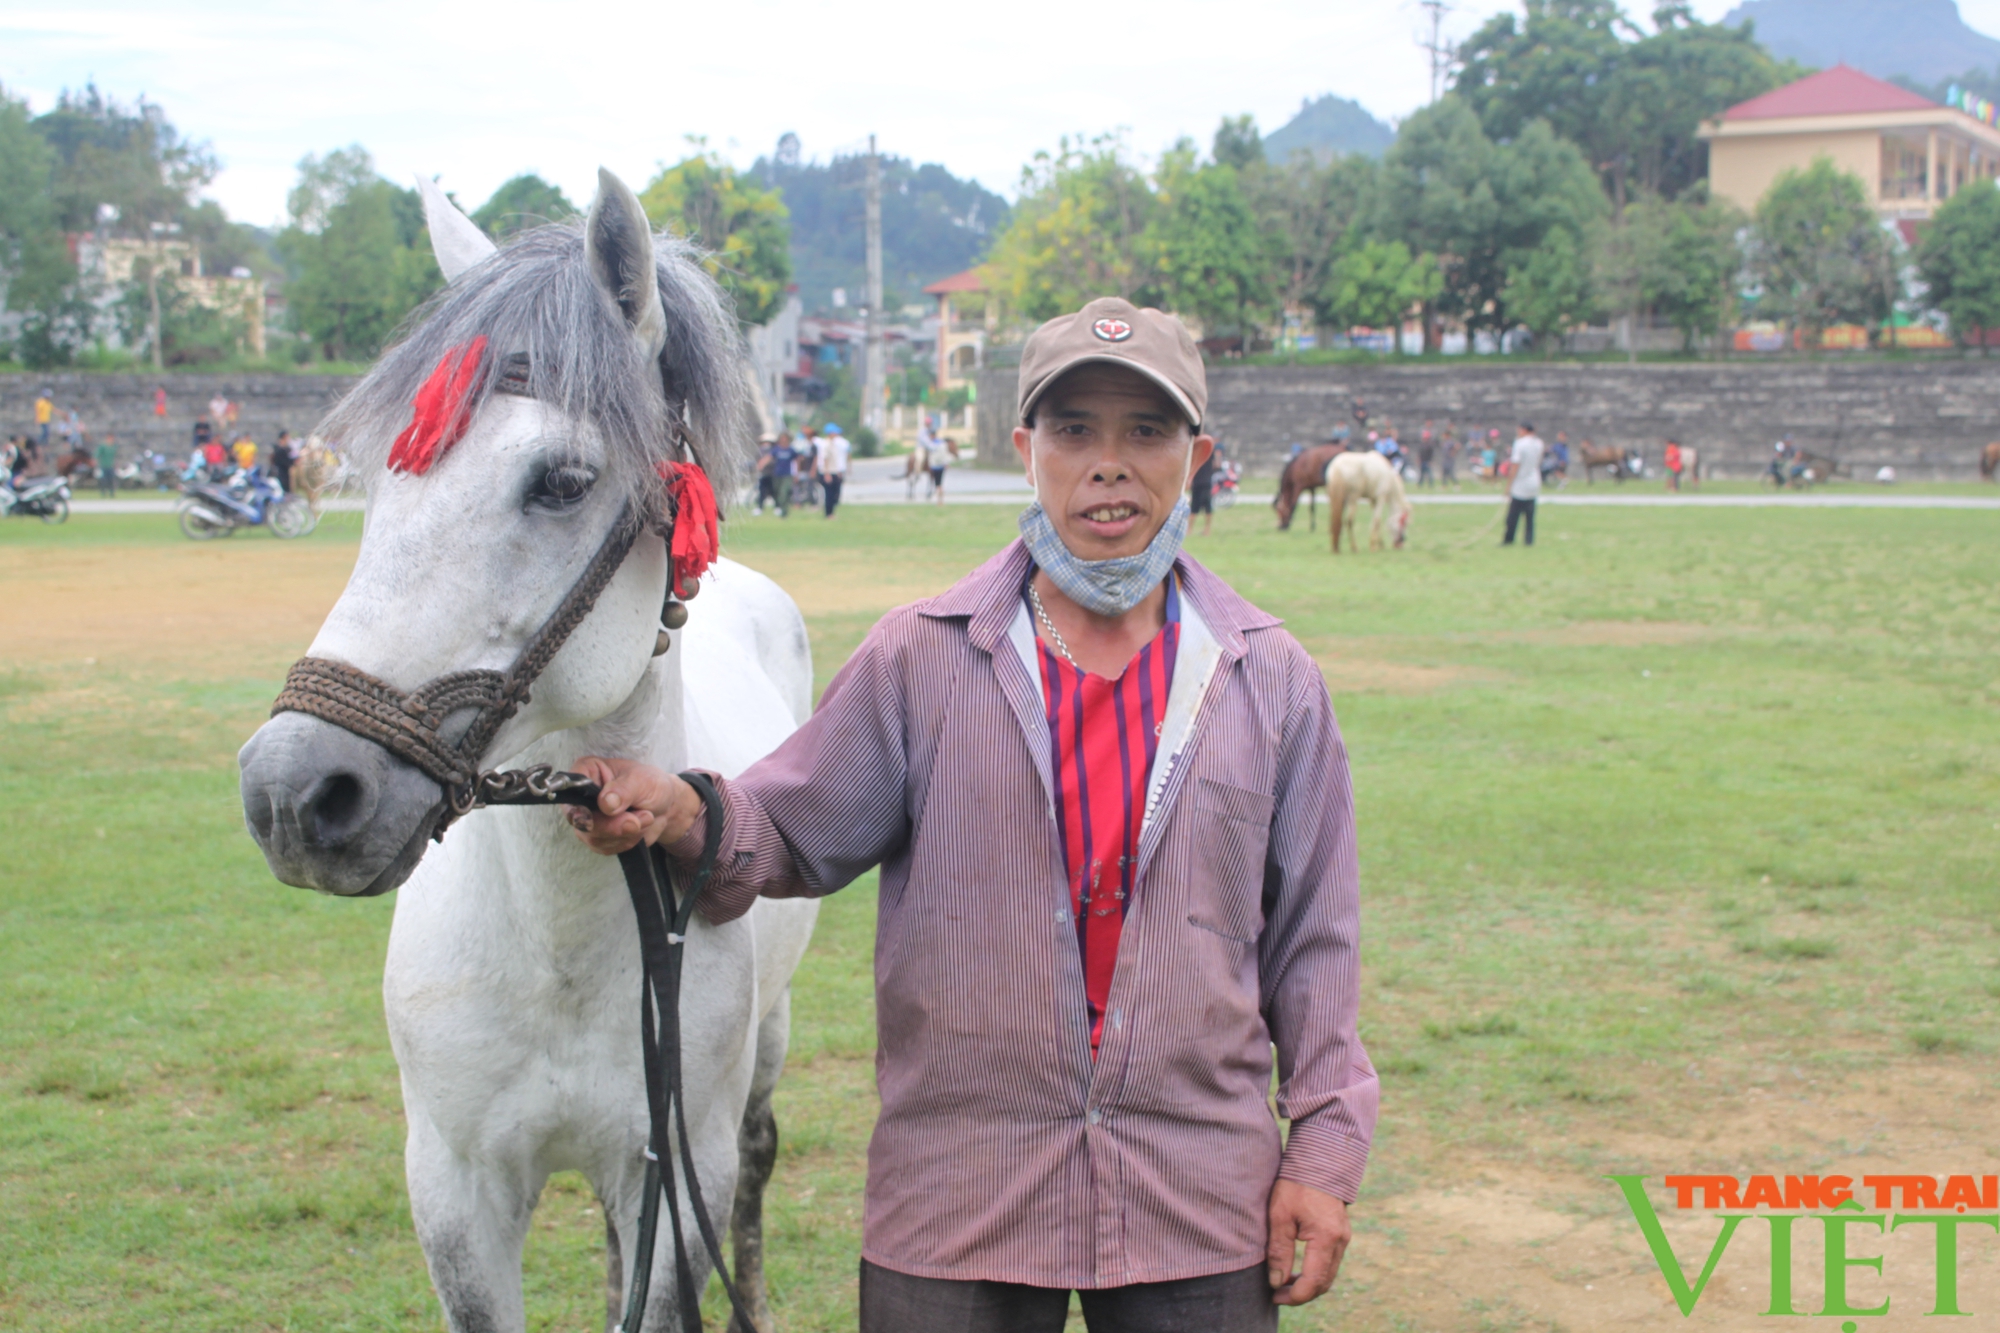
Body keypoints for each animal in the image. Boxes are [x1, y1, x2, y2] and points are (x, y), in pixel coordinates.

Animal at [238, 171, 816, 1328]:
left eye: (561, 480)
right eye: (375, 483)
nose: (292, 792)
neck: (558, 946)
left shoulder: (676, 1172)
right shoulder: (454, 1186)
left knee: (761, 1158)